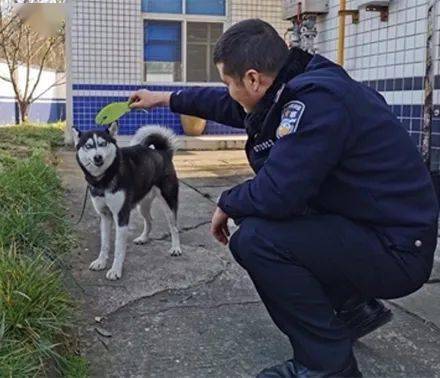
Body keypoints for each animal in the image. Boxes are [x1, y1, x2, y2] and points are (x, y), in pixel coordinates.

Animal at [73, 122, 181, 280]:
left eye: (103, 143)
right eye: (88, 146)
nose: (98, 157)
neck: (104, 179)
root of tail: (163, 152)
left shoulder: (121, 216)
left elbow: (118, 247)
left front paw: (115, 270)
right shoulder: (105, 216)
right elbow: (104, 243)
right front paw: (101, 262)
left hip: (168, 202)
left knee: (174, 227)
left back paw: (176, 248)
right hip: (142, 206)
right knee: (149, 220)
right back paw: (143, 238)